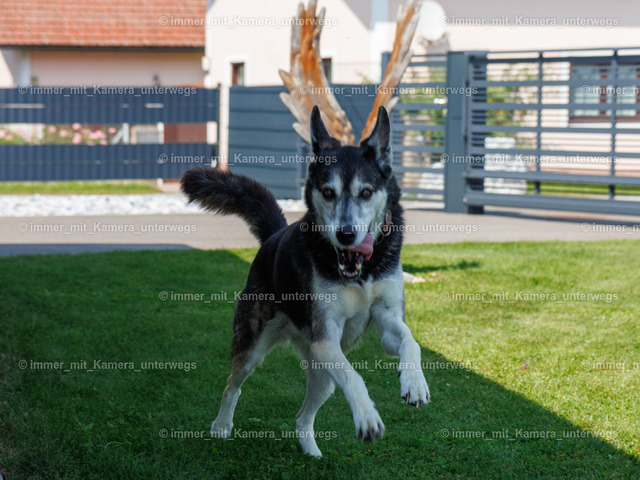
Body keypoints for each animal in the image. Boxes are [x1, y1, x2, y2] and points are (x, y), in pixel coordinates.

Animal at [180, 105, 430, 457]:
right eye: (328, 192)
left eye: (366, 192)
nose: (346, 234)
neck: (360, 272)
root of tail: (272, 237)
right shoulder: (327, 339)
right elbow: (355, 378)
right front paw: (367, 417)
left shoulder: (386, 318)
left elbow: (411, 342)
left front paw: (415, 384)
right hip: (256, 348)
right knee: (233, 385)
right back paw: (221, 426)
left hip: (322, 371)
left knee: (302, 416)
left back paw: (311, 451)